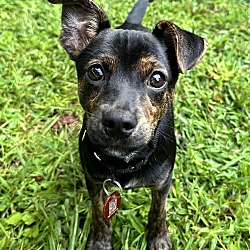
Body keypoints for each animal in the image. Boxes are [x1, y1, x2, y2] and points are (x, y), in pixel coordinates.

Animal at [47, 0, 207, 249]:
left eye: (157, 79)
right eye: (95, 71)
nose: (118, 123)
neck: (125, 162)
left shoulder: (163, 183)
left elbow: (158, 211)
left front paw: (158, 239)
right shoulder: (94, 182)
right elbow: (99, 213)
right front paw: (100, 241)